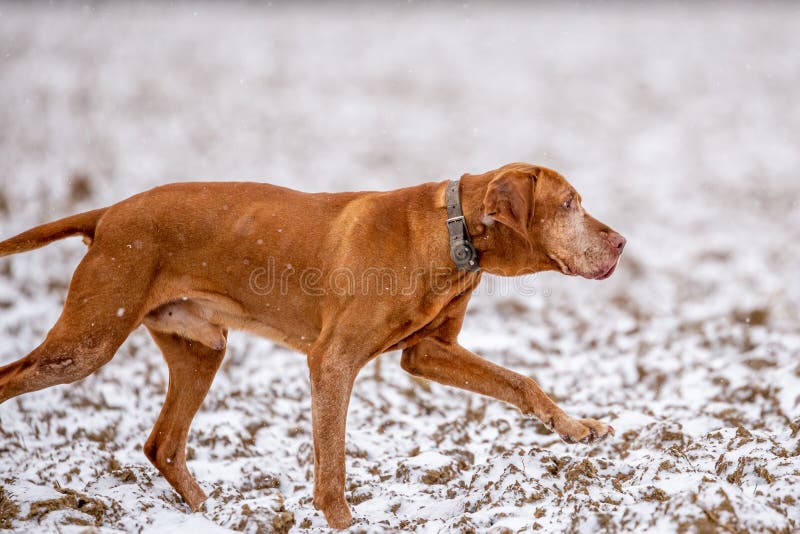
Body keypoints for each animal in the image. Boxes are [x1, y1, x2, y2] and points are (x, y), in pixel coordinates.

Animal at [0, 164, 624, 532]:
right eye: (569, 204)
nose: (621, 241)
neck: (454, 231)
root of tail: (107, 213)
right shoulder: (333, 361)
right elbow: (333, 460)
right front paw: (343, 521)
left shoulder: (426, 353)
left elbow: (522, 381)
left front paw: (576, 428)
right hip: (88, 341)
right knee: (14, 377)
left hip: (201, 347)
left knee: (164, 445)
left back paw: (213, 515)